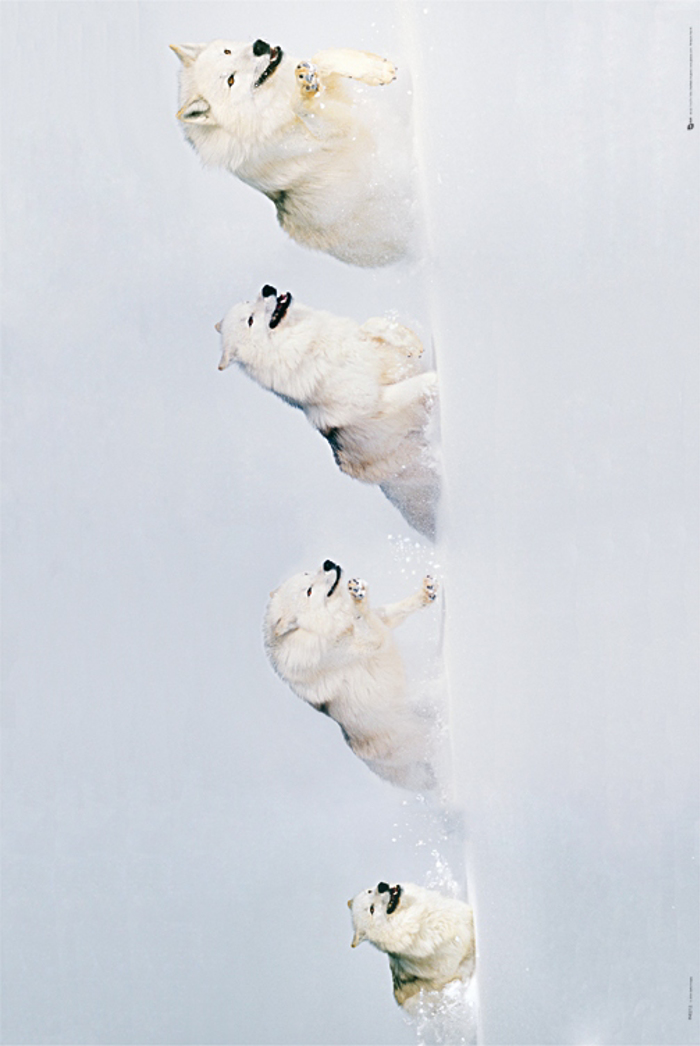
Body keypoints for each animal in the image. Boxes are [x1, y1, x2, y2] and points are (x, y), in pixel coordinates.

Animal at [171, 38, 414, 266]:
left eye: (227, 51)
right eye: (230, 80)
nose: (259, 46)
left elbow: (323, 56)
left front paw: (378, 70)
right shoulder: (335, 131)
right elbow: (303, 104)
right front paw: (305, 89)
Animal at [217, 286, 440, 538]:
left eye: (248, 302)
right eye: (250, 321)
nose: (267, 288)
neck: (312, 349)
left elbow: (373, 323)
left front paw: (410, 342)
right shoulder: (379, 402)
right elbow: (418, 384)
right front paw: (443, 380)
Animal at [263, 560, 438, 790]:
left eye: (307, 573)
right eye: (309, 591)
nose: (328, 563)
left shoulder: (381, 621)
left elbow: (395, 609)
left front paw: (426, 593)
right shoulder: (368, 641)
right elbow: (365, 619)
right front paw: (358, 597)